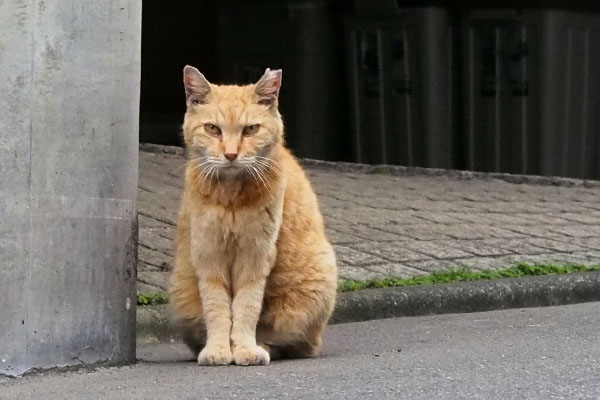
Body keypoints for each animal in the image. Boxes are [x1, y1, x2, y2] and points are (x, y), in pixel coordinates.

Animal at [169, 65, 338, 366]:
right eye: (212, 129)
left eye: (250, 129)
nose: (230, 154)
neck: (231, 197)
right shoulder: (209, 255)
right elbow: (217, 308)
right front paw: (218, 350)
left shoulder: (255, 256)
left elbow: (247, 307)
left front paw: (245, 349)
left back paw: (263, 347)